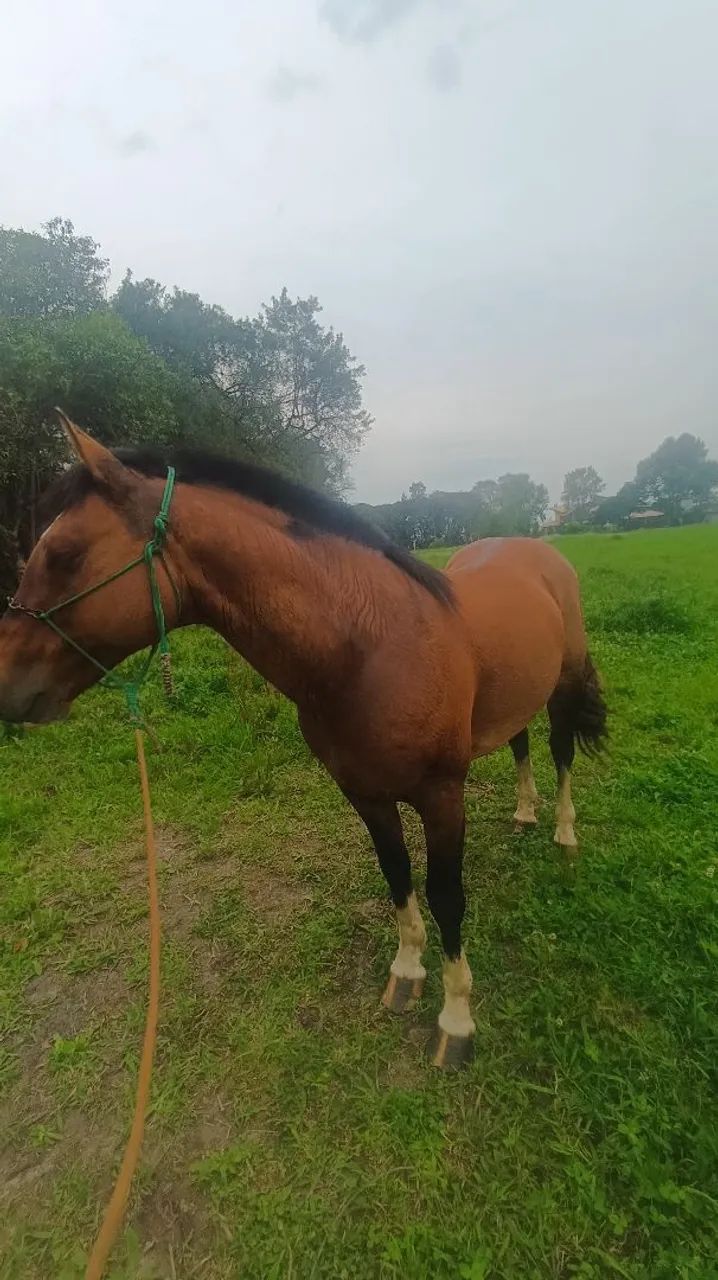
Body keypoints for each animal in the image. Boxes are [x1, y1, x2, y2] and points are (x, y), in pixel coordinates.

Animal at [0, 416, 607, 1069]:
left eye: (63, 555)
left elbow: (447, 896)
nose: (6, 684)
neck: (370, 647)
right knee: (519, 744)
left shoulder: (443, 797)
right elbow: (397, 875)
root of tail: (535, 549)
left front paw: (456, 1020)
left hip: (564, 685)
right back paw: (524, 811)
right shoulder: (365, 794)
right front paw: (406, 973)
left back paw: (563, 832)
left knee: (560, 751)